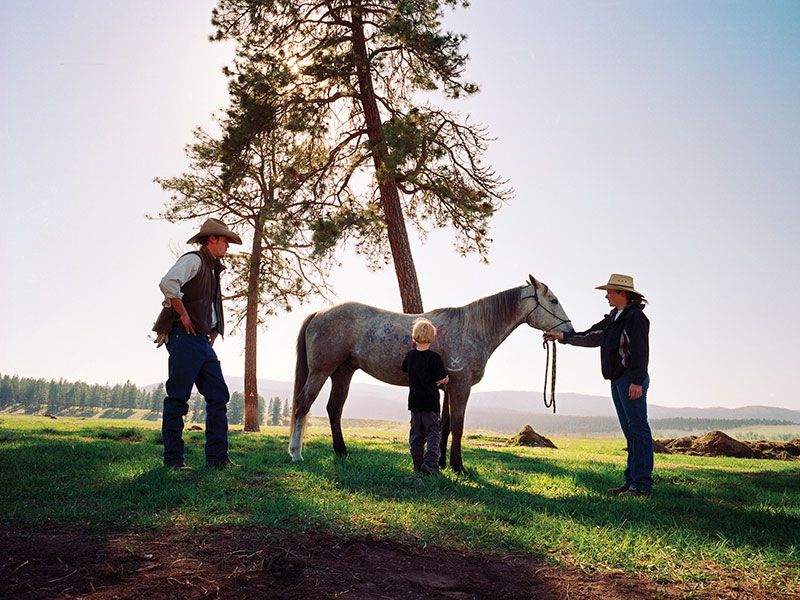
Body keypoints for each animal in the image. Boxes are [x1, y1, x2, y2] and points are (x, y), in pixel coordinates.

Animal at [290, 274, 576, 472]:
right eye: (553, 300)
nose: (570, 332)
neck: (471, 328)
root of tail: (320, 313)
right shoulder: (461, 387)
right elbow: (458, 426)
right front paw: (459, 467)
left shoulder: (449, 387)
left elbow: (446, 426)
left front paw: (442, 463)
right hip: (321, 371)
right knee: (302, 406)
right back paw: (296, 454)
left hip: (343, 372)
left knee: (334, 409)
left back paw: (341, 452)